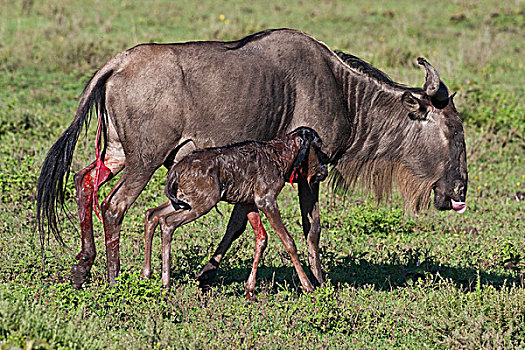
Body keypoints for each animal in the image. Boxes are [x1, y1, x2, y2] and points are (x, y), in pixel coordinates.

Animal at [141, 127, 326, 300]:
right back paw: (165, 284)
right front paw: (308, 287)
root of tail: (177, 168)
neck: (280, 156)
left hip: (184, 201)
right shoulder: (266, 200)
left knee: (153, 214)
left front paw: (250, 291)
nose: (324, 170)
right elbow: (288, 241)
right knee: (167, 223)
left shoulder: (248, 202)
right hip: (202, 202)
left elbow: (262, 237)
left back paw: (146, 275)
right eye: (317, 145)